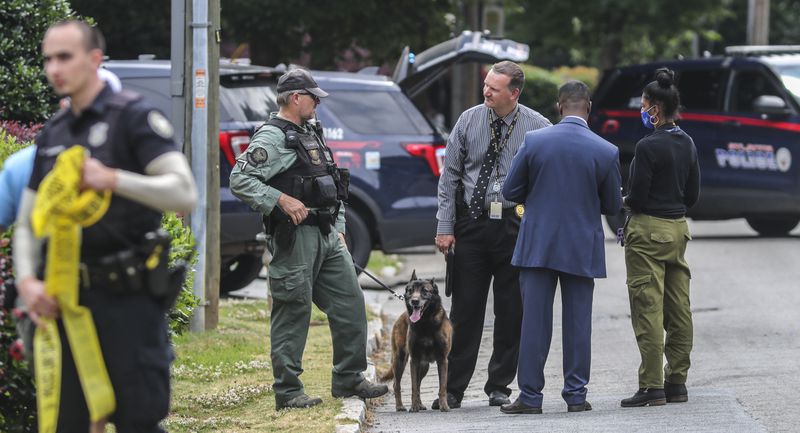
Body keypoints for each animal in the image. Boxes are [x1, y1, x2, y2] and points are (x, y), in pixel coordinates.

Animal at [380, 270, 450, 412]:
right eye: (410, 290)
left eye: (425, 291)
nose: (414, 301)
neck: (426, 322)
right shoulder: (414, 360)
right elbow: (413, 387)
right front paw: (413, 406)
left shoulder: (442, 360)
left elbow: (442, 387)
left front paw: (444, 406)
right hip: (400, 360)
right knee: (397, 384)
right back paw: (400, 406)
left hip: (424, 366)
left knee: (418, 384)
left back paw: (420, 404)